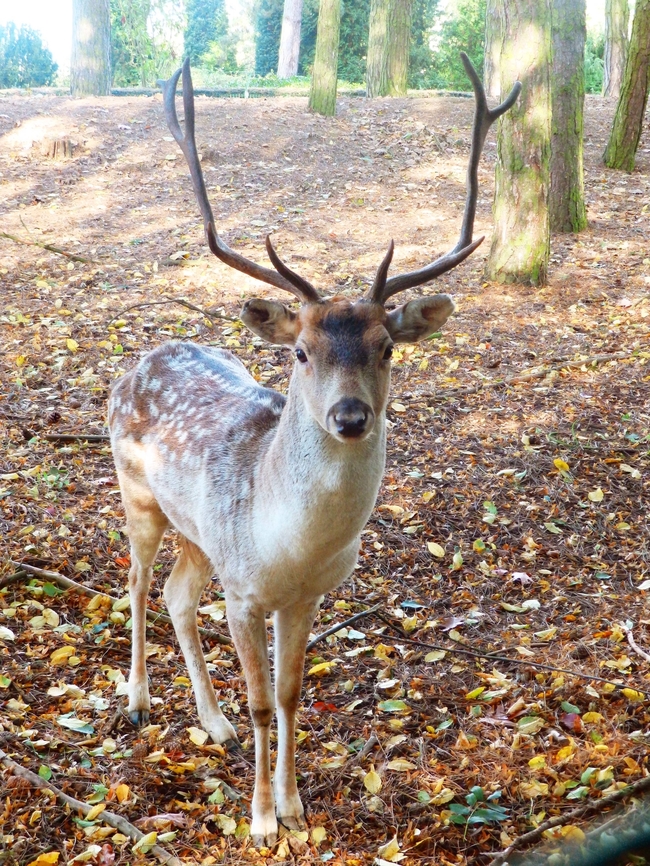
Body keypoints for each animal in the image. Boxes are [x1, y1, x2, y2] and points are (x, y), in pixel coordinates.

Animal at [108, 54, 520, 846]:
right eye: (301, 351)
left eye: (388, 347)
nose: (350, 414)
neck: (291, 548)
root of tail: (141, 358)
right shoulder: (244, 592)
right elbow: (265, 702)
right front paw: (262, 821)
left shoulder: (304, 597)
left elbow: (293, 695)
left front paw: (295, 805)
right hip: (135, 496)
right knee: (139, 583)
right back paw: (139, 700)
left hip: (198, 533)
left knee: (176, 594)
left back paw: (213, 723)